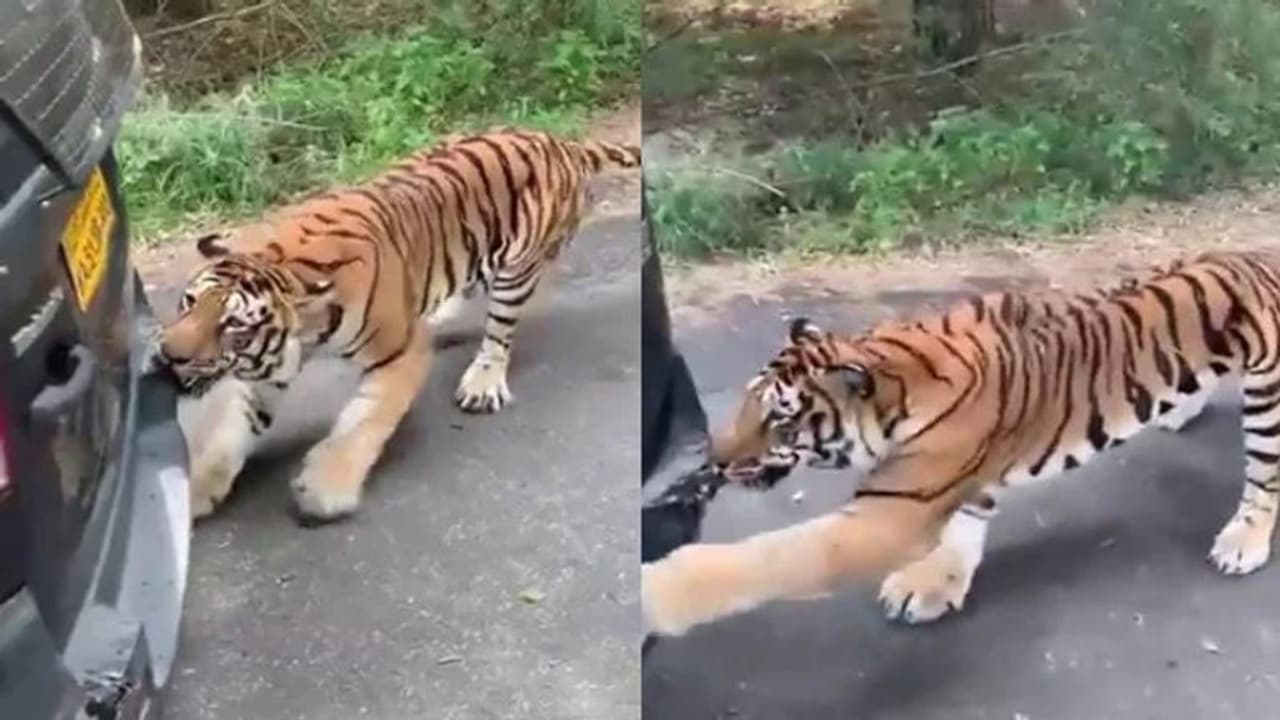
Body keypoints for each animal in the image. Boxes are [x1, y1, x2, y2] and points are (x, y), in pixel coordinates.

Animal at [155, 129, 640, 524]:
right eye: (189, 302)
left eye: (231, 325)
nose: (167, 354)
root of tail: (561, 143)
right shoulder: (266, 370)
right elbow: (228, 432)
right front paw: (195, 492)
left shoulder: (399, 352)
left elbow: (363, 423)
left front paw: (326, 489)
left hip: (516, 271)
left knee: (501, 332)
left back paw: (482, 382)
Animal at [642, 250, 1280, 638]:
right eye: (748, 403)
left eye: (780, 419)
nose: (716, 460)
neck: (893, 372)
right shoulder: (963, 475)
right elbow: (966, 524)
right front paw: (935, 583)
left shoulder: (888, 513)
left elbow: (771, 557)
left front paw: (659, 595)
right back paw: (1182, 411)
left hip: (1267, 392)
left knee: (1264, 480)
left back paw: (1242, 542)